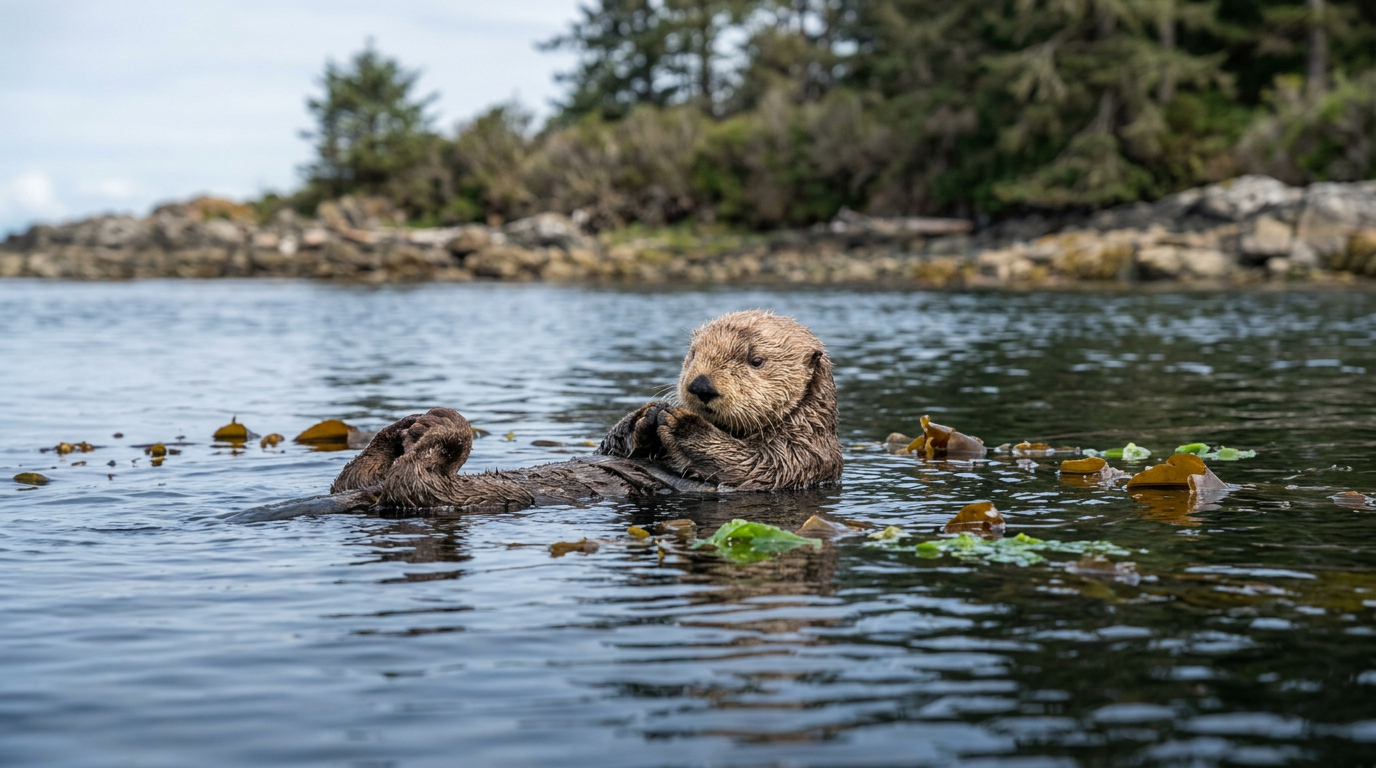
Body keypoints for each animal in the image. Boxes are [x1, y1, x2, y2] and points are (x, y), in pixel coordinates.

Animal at [229, 311, 841, 522]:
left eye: (754, 359)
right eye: (693, 355)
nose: (699, 386)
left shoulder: (807, 459)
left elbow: (749, 465)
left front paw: (677, 424)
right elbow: (609, 446)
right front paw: (640, 419)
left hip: (444, 494)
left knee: (417, 481)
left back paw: (438, 430)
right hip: (364, 486)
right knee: (360, 475)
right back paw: (404, 426)